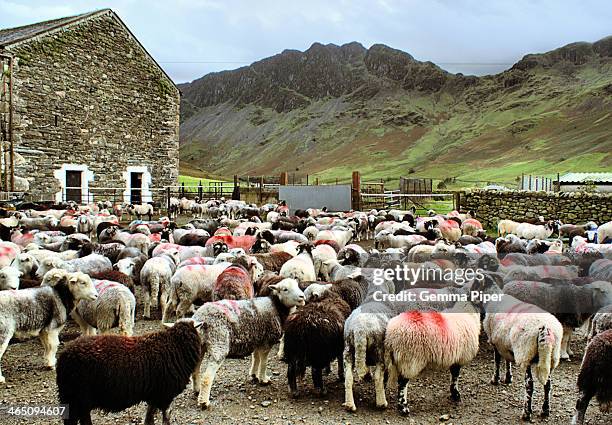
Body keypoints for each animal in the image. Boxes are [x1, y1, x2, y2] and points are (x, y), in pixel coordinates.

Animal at [56, 318, 201, 424]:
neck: (175, 345)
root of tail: (64, 355)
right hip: (77, 397)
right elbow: (166, 418)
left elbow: (149, 417)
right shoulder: (164, 394)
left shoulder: (154, 395)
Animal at [192, 278, 304, 408]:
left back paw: (197, 390)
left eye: (297, 285)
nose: (302, 297)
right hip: (219, 343)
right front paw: (263, 378)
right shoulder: (267, 341)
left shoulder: (258, 339)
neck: (276, 306)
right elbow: (264, 362)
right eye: (285, 289)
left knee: (195, 370)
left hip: (200, 345)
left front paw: (254, 374)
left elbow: (256, 358)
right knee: (207, 377)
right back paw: (204, 402)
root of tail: (201, 318)